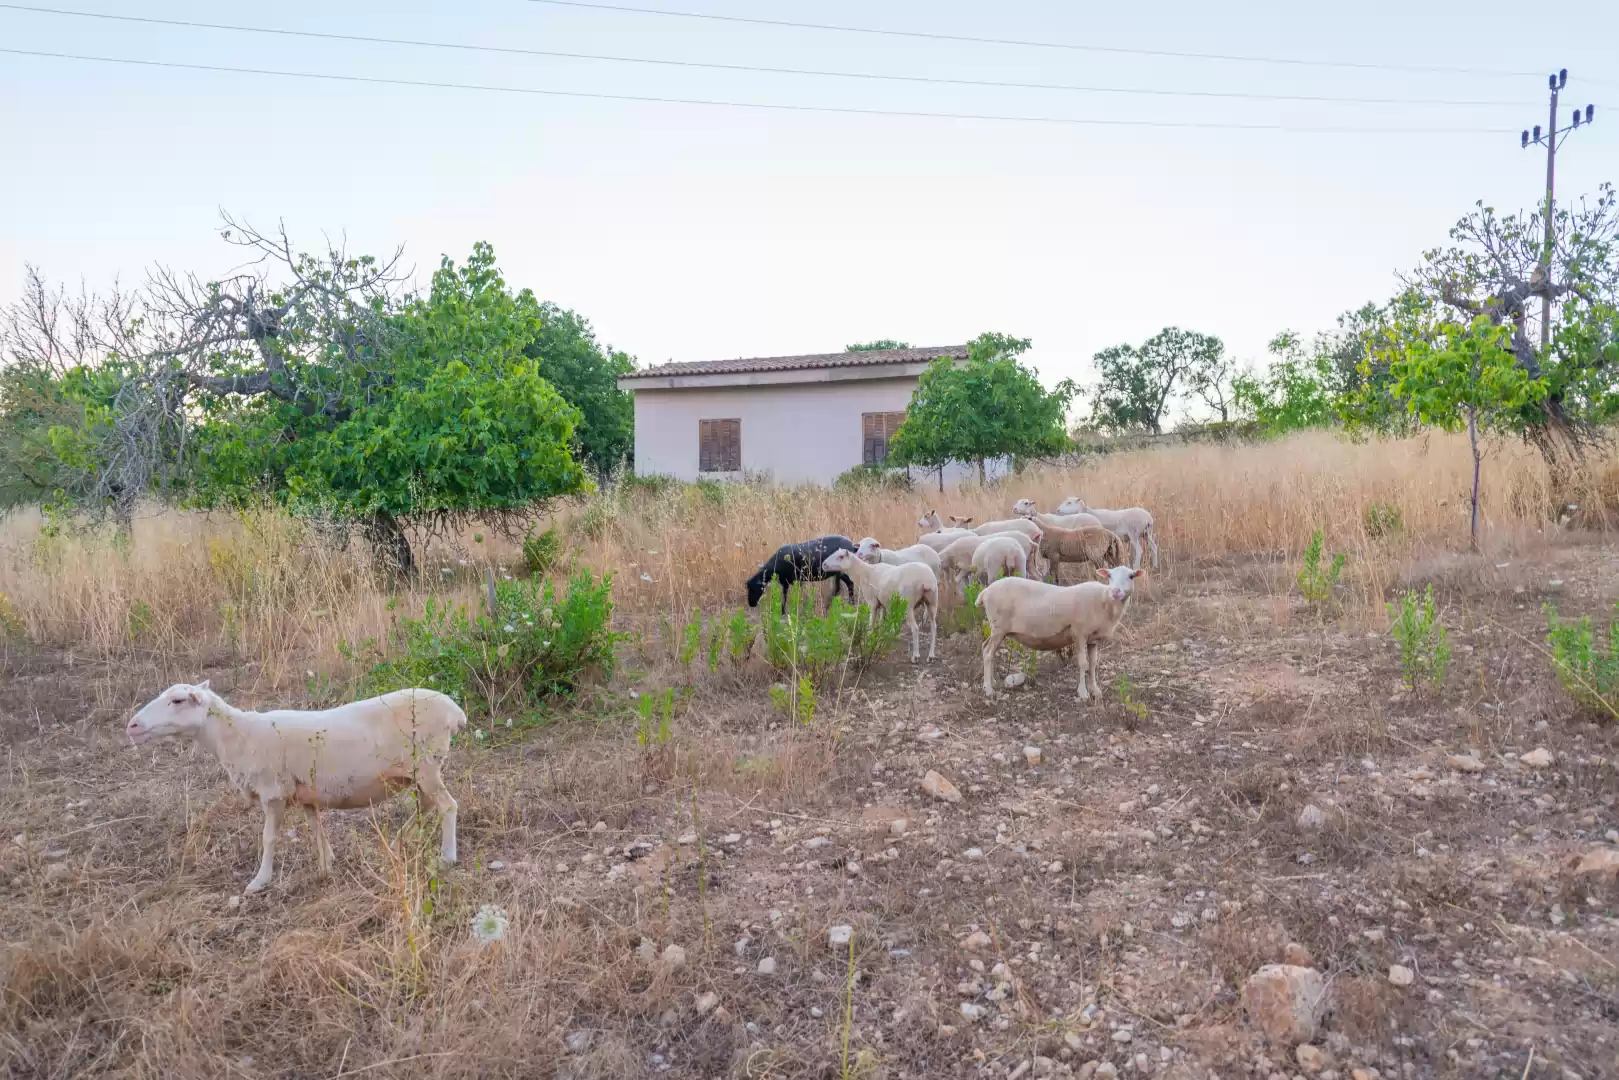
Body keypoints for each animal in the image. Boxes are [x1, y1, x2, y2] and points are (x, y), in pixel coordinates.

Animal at [126, 683, 466, 893]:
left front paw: (260, 881)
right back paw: (396, 843)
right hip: (417, 772)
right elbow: (316, 828)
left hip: (426, 764)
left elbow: (269, 837)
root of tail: (455, 712)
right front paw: (326, 865)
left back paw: (447, 858)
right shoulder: (305, 794)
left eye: (178, 700)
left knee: (448, 805)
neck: (239, 736)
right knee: (428, 804)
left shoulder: (273, 793)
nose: (132, 726)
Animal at [977, 563, 1146, 705]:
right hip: (998, 627)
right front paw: (1083, 693)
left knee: (986, 648)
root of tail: (985, 591)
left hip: (998, 630)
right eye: (1109, 576)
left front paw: (1095, 690)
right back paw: (988, 689)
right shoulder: (1079, 633)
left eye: (1131, 576)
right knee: (988, 653)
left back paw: (991, 681)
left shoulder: (1093, 639)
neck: (1104, 600)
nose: (1115, 591)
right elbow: (1083, 663)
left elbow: (1093, 664)